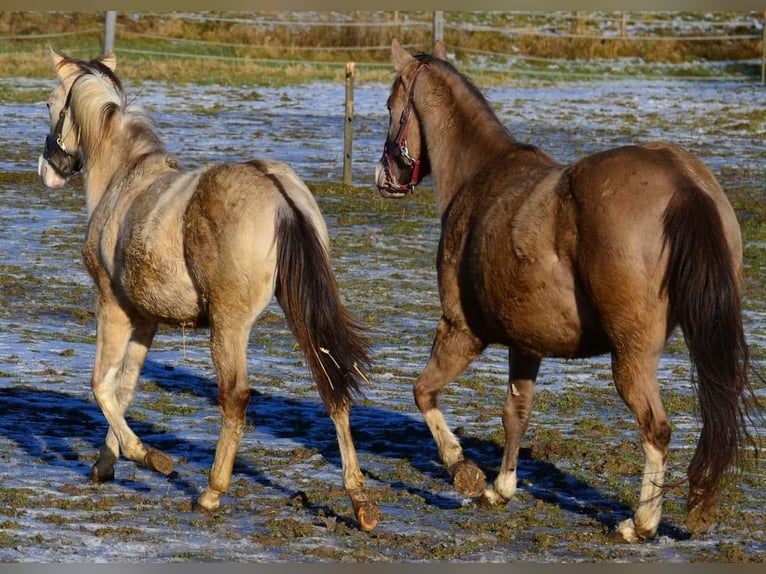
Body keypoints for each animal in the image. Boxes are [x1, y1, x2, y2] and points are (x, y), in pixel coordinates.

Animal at [39, 50, 380, 536]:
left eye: (51, 103)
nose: (48, 169)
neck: (126, 179)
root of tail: (276, 191)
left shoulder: (114, 308)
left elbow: (102, 386)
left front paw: (150, 458)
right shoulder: (146, 321)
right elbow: (125, 390)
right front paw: (106, 465)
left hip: (228, 327)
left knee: (235, 397)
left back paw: (211, 493)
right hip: (302, 312)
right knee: (332, 384)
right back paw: (360, 501)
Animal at [376, 40, 760, 544]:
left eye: (390, 106)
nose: (384, 178)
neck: (480, 177)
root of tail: (681, 182)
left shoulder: (460, 330)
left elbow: (423, 391)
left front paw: (465, 472)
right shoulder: (526, 343)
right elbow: (515, 412)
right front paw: (500, 487)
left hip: (632, 355)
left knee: (656, 429)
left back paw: (641, 523)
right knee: (717, 409)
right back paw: (699, 505)